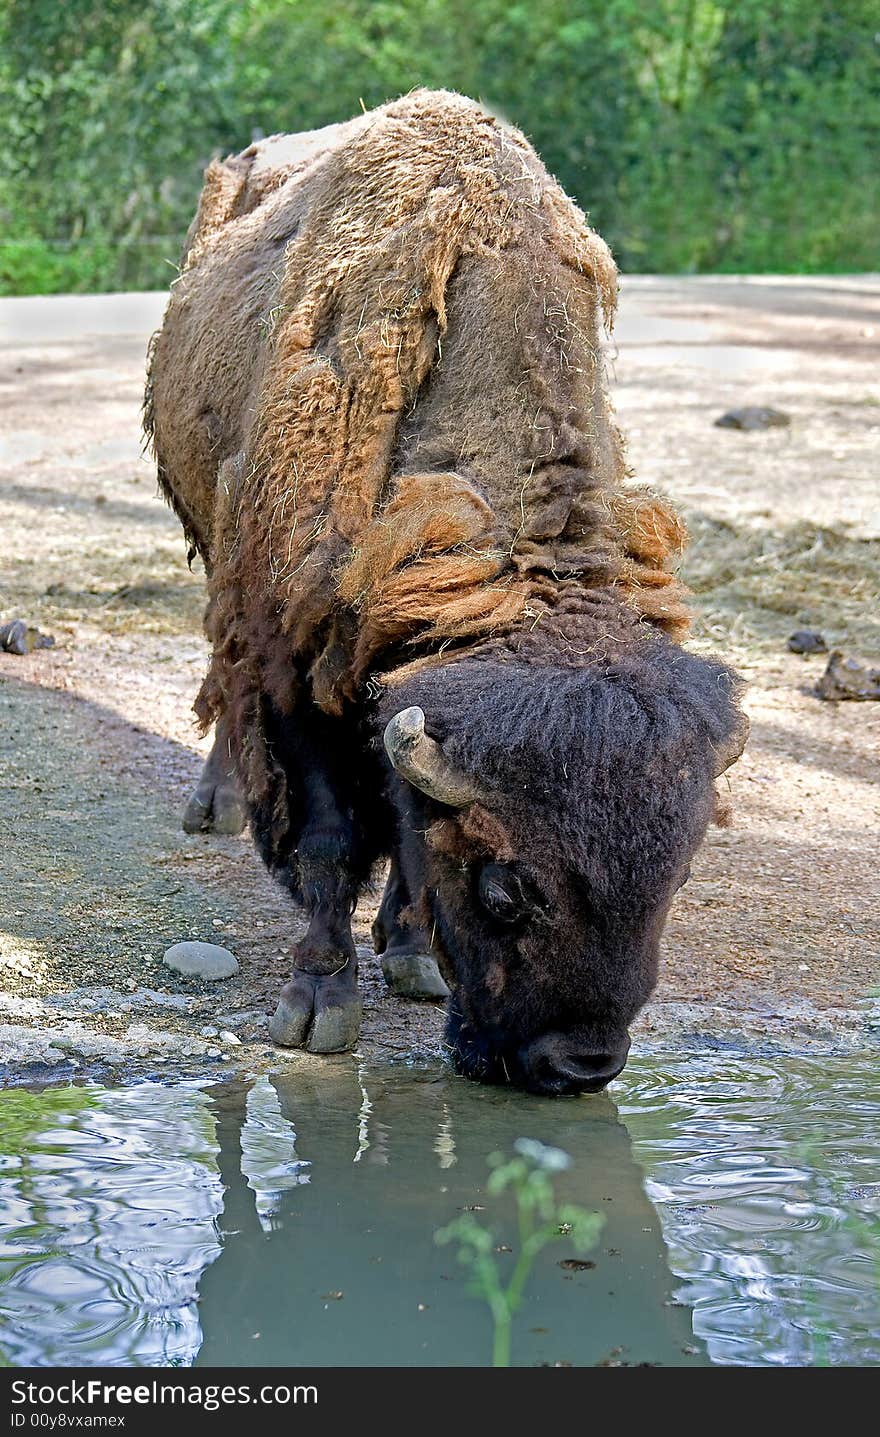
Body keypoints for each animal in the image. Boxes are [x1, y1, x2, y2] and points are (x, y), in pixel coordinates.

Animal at [145, 89, 747, 1092]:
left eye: (678, 878)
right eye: (506, 888)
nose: (579, 1064)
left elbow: (403, 819)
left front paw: (411, 955)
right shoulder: (295, 655)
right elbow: (327, 834)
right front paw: (318, 1008)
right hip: (215, 551)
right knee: (223, 687)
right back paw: (214, 806)